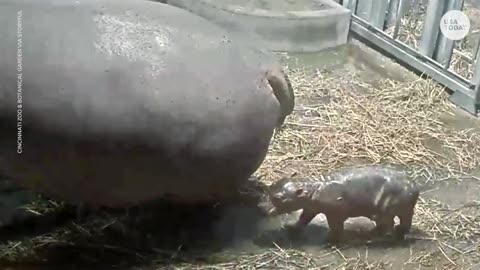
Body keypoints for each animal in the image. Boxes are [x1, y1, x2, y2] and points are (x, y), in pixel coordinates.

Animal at [268, 165, 418, 245]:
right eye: (272, 186)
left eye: (279, 197)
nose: (267, 210)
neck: (312, 190)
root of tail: (413, 186)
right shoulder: (311, 208)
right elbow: (303, 219)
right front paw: (292, 229)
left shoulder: (334, 214)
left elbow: (336, 227)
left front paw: (329, 241)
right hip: (400, 210)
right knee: (402, 223)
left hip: (385, 211)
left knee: (387, 225)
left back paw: (369, 238)